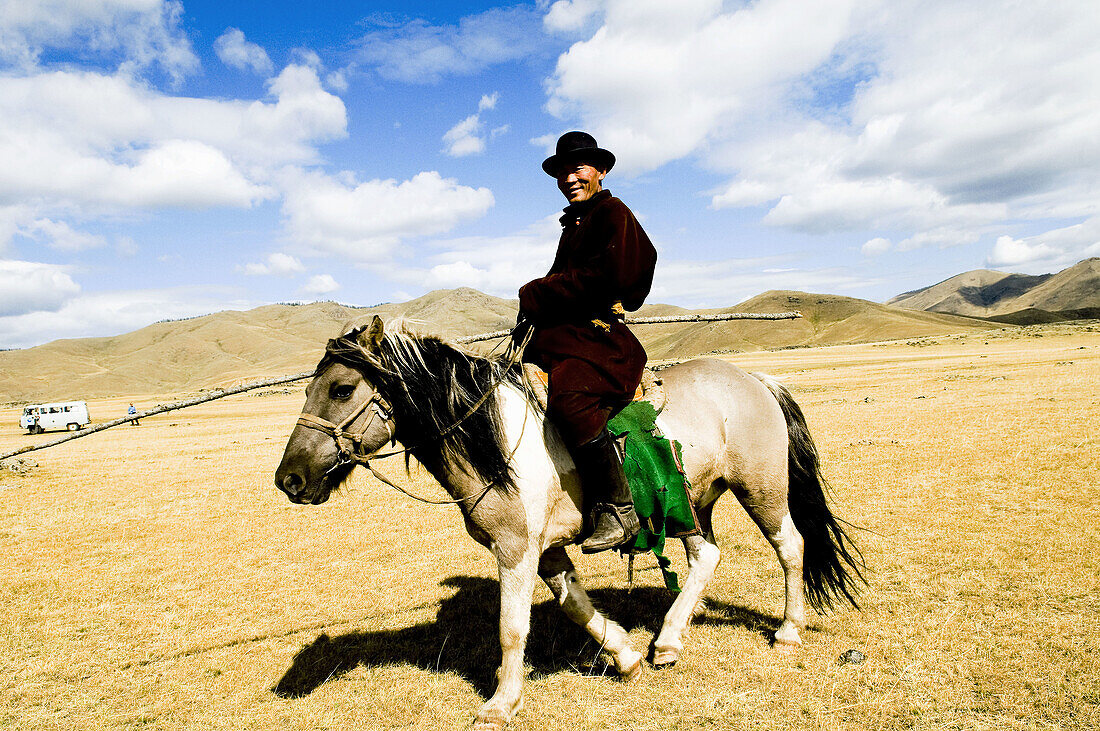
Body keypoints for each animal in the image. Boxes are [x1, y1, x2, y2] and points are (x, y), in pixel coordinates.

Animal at [272, 318, 858, 729]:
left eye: (342, 389)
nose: (289, 479)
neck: (496, 438)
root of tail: (756, 378)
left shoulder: (515, 547)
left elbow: (511, 627)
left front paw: (500, 704)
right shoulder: (546, 548)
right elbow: (576, 606)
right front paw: (625, 656)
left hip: (761, 490)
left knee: (791, 546)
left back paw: (787, 631)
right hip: (690, 503)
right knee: (705, 557)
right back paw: (666, 642)